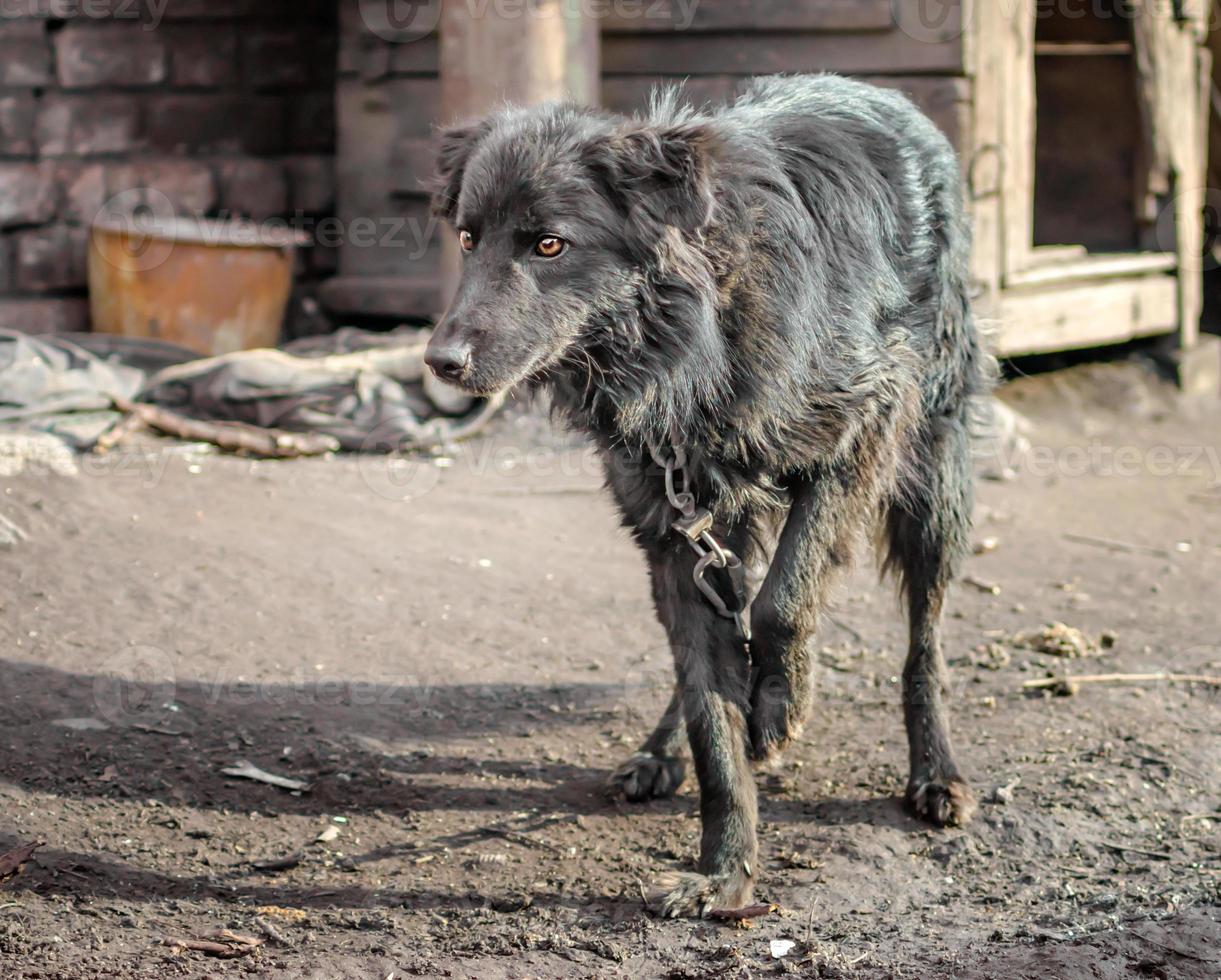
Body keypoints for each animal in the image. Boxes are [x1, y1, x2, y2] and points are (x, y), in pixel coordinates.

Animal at [424, 72, 986, 917]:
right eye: (466, 238)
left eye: (549, 244)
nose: (440, 362)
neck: (687, 348)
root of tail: (878, 90)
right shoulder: (669, 532)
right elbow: (709, 714)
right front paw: (726, 873)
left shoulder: (862, 432)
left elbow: (784, 603)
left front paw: (781, 708)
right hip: (722, 524)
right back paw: (659, 753)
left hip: (931, 478)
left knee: (924, 642)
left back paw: (935, 772)